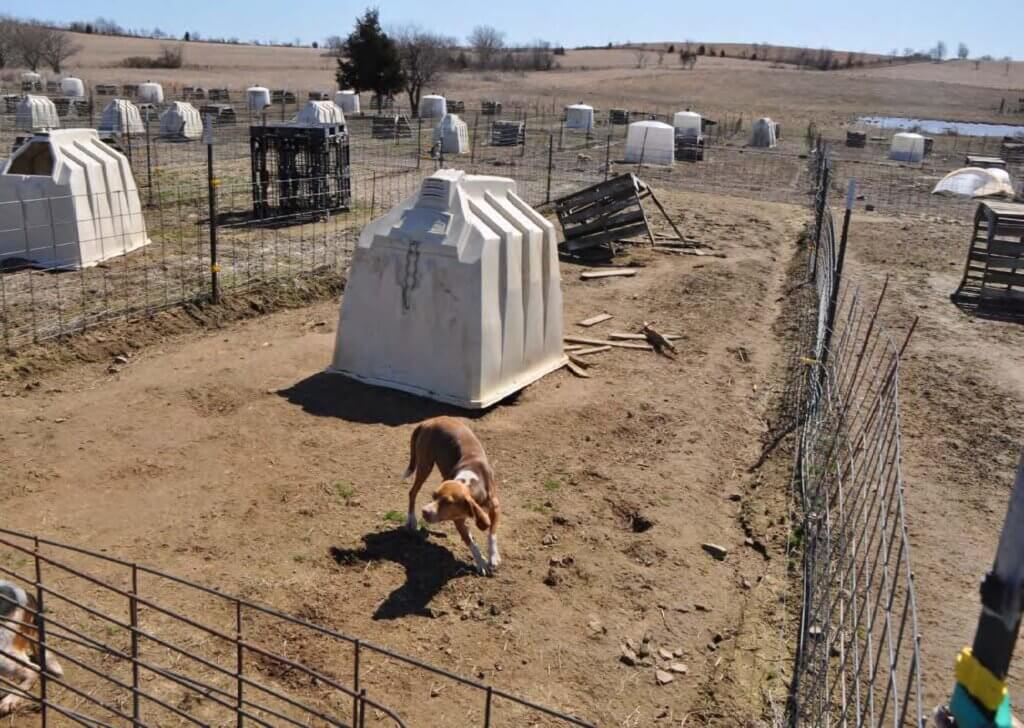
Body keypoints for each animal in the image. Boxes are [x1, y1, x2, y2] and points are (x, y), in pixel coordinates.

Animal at [405, 417, 505, 577]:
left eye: (447, 502)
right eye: (434, 496)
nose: (425, 512)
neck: (470, 480)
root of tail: (429, 421)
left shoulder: (495, 507)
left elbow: (492, 533)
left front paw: (493, 556)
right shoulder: (457, 520)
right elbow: (470, 542)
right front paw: (481, 562)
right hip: (425, 465)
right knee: (412, 492)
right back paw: (412, 519)